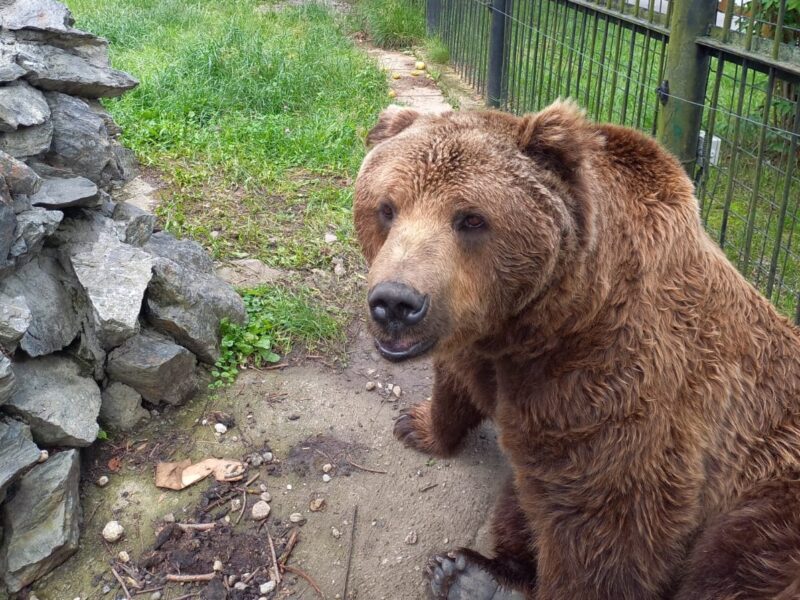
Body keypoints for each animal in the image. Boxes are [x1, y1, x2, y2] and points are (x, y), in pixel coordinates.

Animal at [354, 102, 800, 600]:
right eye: (386, 208)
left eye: (471, 218)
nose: (395, 303)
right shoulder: (487, 346)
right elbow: (458, 381)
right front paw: (416, 424)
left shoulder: (615, 384)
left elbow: (604, 527)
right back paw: (470, 574)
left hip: (771, 490)